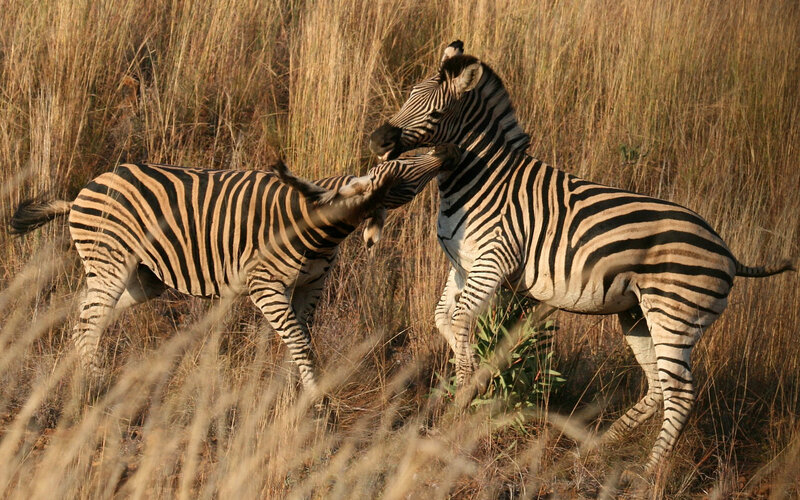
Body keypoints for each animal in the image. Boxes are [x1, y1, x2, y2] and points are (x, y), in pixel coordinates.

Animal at [9, 144, 460, 398]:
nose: (446, 152)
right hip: (112, 261)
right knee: (89, 319)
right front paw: (316, 397)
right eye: (401, 169)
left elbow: (303, 336)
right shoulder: (266, 286)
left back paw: (82, 371)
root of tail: (79, 194)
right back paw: (95, 384)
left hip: (142, 278)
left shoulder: (311, 286)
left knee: (85, 314)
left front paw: (296, 386)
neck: (321, 227)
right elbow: (297, 337)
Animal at [368, 40, 795, 473]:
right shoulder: (463, 266)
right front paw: (472, 383)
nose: (377, 139)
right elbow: (444, 319)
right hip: (639, 315)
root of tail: (728, 252)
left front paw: (463, 399)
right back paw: (598, 446)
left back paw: (647, 475)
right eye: (408, 95)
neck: (481, 178)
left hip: (674, 316)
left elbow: (459, 321)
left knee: (681, 394)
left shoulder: (494, 259)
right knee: (658, 386)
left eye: (436, 113)